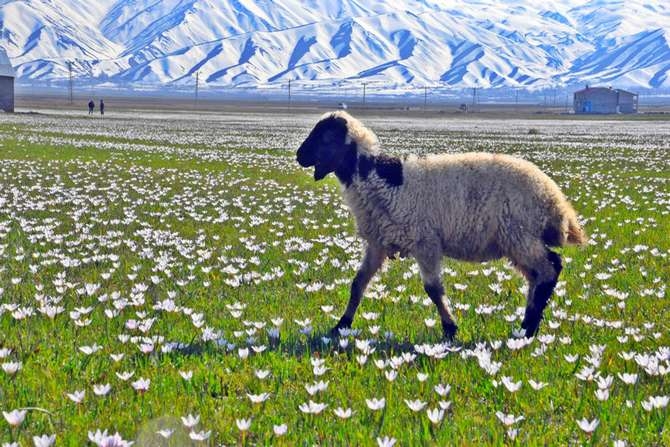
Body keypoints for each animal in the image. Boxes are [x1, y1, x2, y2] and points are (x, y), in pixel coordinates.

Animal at [296, 112, 584, 340]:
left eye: (325, 137)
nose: (299, 156)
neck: (377, 177)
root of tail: (555, 199)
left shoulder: (426, 241)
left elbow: (433, 289)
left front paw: (450, 328)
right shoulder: (378, 242)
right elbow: (358, 284)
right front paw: (340, 326)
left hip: (520, 234)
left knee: (550, 268)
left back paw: (528, 328)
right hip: (517, 240)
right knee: (537, 275)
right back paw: (527, 324)